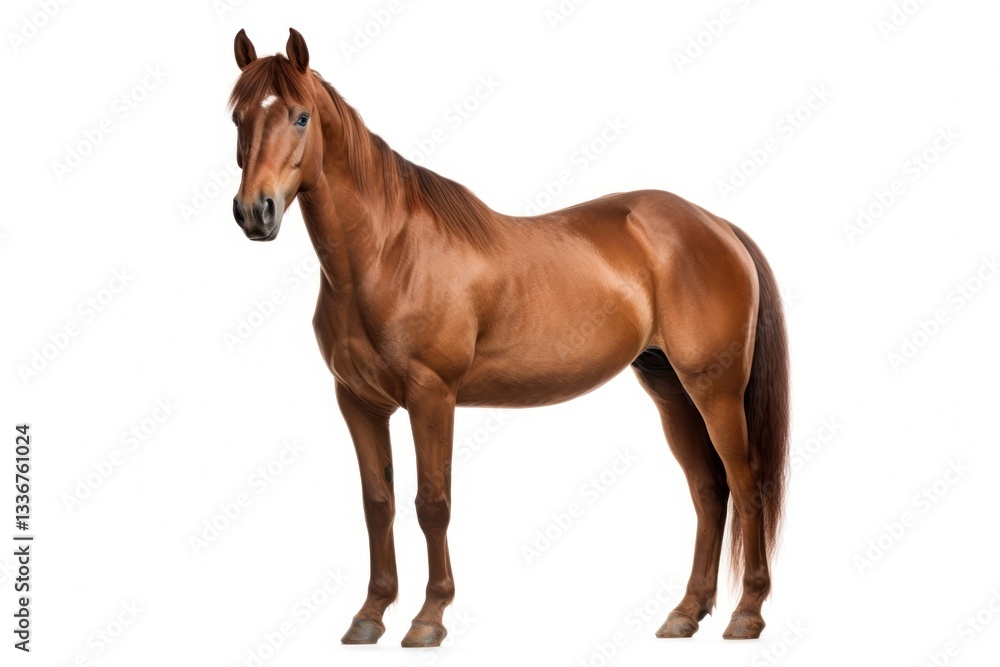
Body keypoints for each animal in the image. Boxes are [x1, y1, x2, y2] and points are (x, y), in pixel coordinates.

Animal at [228, 28, 790, 648]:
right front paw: (369, 615)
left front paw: (429, 617)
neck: (386, 253)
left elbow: (432, 503)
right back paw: (686, 612)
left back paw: (748, 613)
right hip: (671, 390)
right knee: (709, 490)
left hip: (716, 389)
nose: (255, 212)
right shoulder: (358, 402)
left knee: (747, 482)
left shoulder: (431, 396)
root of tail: (715, 225)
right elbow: (379, 503)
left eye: (301, 117)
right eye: (237, 117)